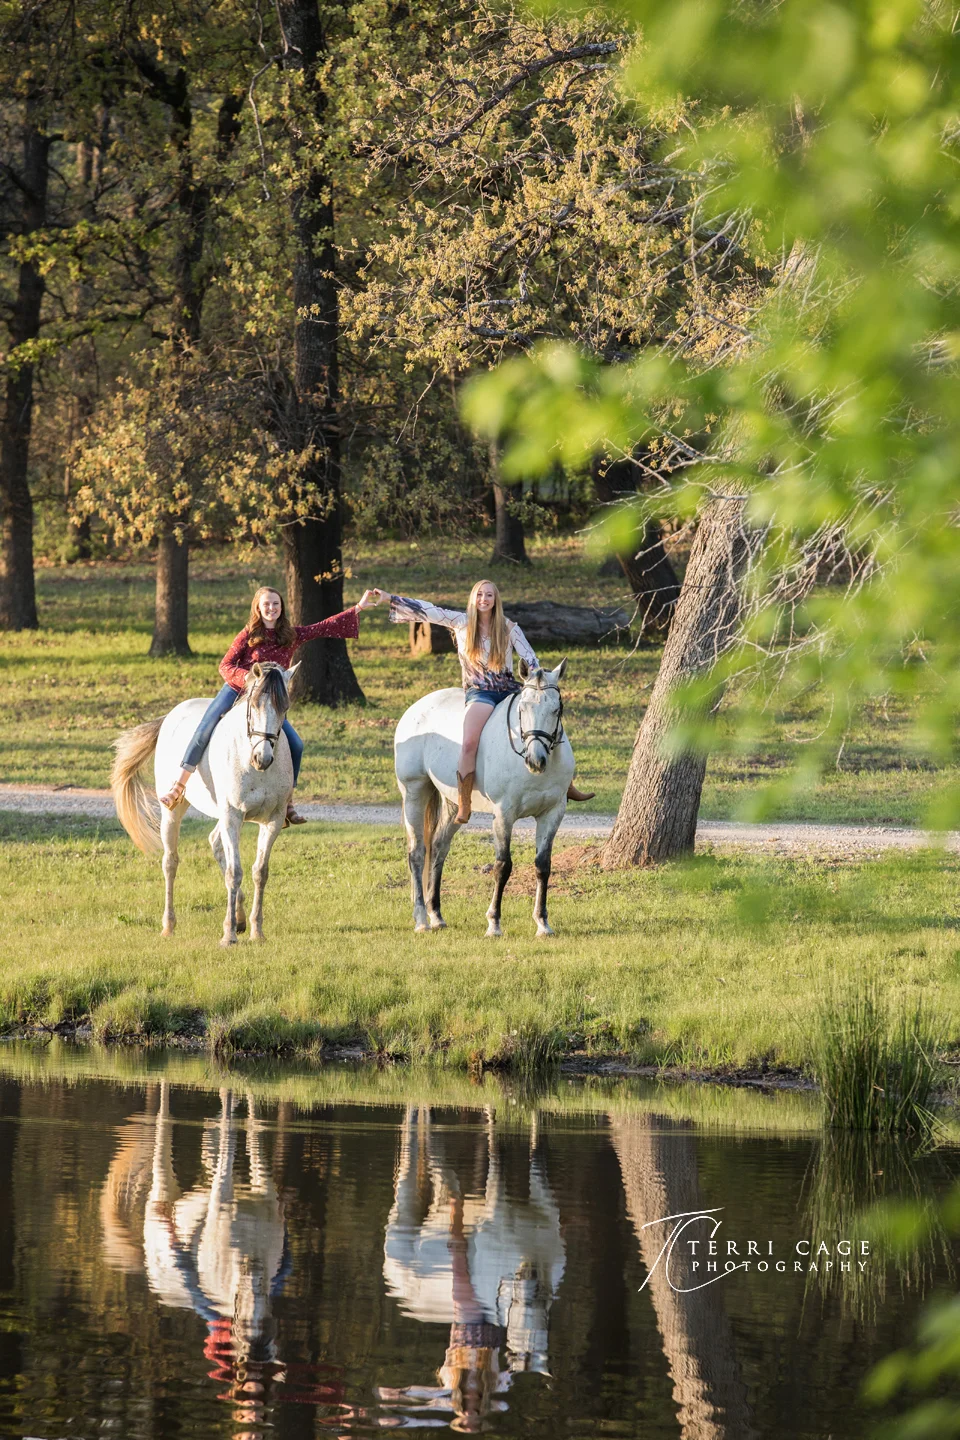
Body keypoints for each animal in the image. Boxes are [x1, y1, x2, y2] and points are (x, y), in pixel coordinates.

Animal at [111, 662, 298, 946]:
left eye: (284, 708)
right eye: (254, 705)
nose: (262, 757)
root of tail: (171, 715)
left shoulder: (272, 821)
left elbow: (259, 872)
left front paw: (256, 931)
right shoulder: (232, 816)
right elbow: (234, 872)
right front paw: (228, 935)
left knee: (215, 843)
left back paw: (240, 918)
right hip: (173, 813)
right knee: (170, 862)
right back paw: (169, 925)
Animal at [394, 661, 575, 938]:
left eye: (557, 709)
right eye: (522, 708)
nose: (536, 760)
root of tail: (415, 709)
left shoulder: (552, 813)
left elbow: (543, 865)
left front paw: (543, 923)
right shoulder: (503, 815)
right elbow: (503, 866)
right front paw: (494, 923)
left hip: (453, 806)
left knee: (438, 848)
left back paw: (436, 916)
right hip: (414, 791)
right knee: (417, 853)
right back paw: (422, 920)